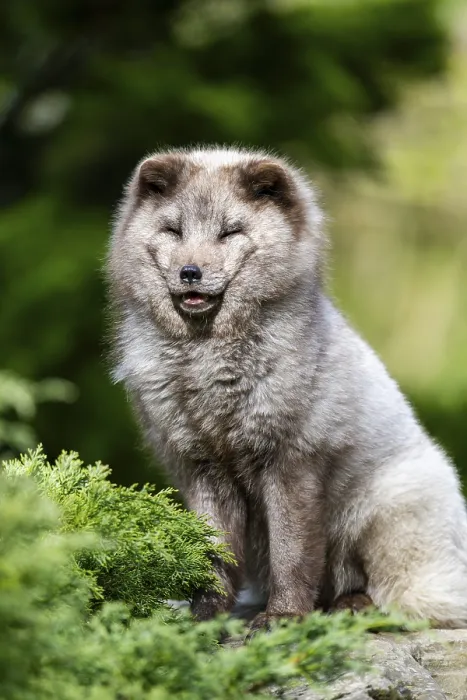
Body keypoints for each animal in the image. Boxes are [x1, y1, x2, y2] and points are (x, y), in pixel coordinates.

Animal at [106, 146, 467, 631]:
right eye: (174, 230)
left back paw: (353, 607)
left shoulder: (292, 462)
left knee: (402, 600)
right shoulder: (202, 469)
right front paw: (207, 617)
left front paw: (284, 616)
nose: (190, 272)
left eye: (230, 232)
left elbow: (292, 553)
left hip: (384, 513)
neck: (207, 363)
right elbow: (212, 556)